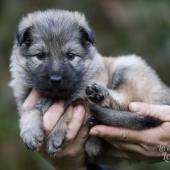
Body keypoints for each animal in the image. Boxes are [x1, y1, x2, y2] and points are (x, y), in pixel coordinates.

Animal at [9, 8, 170, 166]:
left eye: (70, 55)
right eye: (40, 56)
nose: (56, 79)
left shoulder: (82, 99)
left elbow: (67, 109)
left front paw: (55, 134)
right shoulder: (24, 97)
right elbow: (30, 110)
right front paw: (30, 131)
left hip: (126, 66)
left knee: (124, 101)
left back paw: (100, 94)